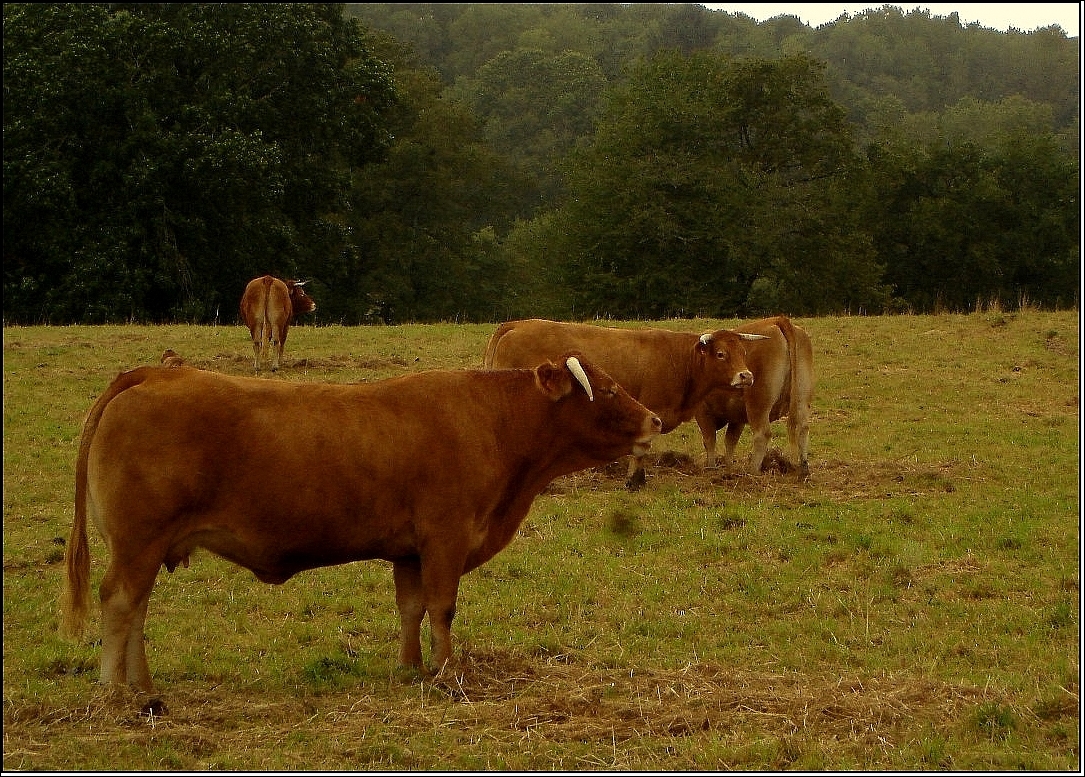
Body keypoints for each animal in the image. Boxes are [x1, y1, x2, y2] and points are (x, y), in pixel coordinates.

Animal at [59, 355, 659, 690]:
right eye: (609, 389)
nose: (655, 419)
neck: (494, 422)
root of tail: (152, 375)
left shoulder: (410, 550)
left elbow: (412, 609)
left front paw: (410, 668)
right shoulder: (446, 536)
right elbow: (443, 608)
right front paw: (448, 672)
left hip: (147, 547)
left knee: (136, 608)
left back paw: (143, 688)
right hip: (138, 542)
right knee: (120, 602)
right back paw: (115, 692)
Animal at [483, 314, 763, 486]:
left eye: (743, 352)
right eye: (721, 353)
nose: (746, 376)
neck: (681, 360)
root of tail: (516, 324)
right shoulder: (652, 410)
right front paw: (633, 480)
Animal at [694, 316, 815, 479]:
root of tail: (777, 320)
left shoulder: (702, 412)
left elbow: (710, 440)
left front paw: (711, 468)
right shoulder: (737, 416)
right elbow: (730, 441)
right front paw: (729, 468)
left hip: (758, 404)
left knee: (762, 434)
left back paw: (752, 471)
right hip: (802, 397)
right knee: (802, 427)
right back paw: (803, 469)